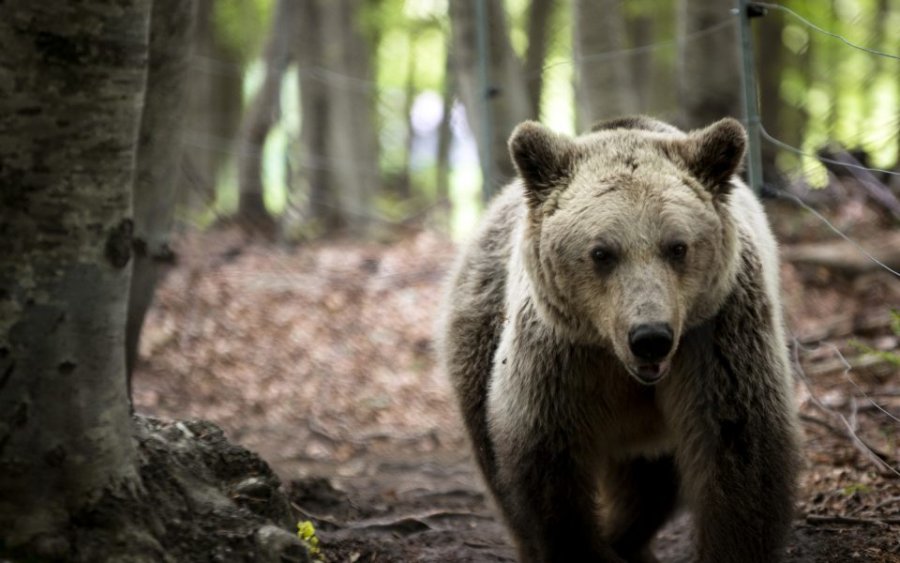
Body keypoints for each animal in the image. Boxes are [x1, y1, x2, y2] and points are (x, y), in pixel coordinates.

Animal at [440, 115, 800, 563]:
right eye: (601, 252)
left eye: (677, 247)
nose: (650, 337)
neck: (619, 363)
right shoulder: (560, 355)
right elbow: (548, 467)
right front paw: (579, 548)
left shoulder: (716, 335)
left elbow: (739, 451)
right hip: (482, 326)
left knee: (649, 487)